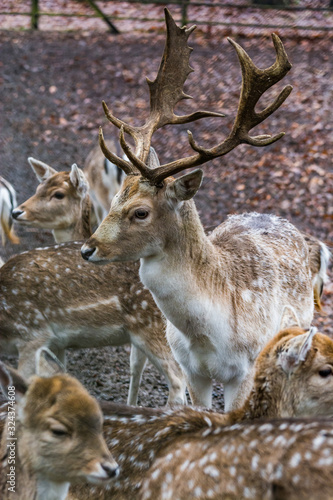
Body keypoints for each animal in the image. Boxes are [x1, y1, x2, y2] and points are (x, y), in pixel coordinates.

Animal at [2, 160, 185, 406]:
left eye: (58, 194)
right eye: (38, 188)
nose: (16, 211)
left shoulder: (33, 334)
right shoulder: (57, 343)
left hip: (154, 326)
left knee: (179, 378)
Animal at [81, 9, 326, 412]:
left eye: (141, 212)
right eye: (116, 197)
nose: (88, 248)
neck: (207, 332)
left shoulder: (244, 370)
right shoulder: (191, 369)